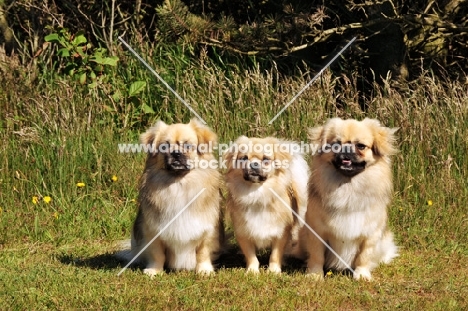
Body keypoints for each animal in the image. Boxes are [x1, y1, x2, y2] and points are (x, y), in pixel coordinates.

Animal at [120, 118, 223, 276]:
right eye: (165, 147)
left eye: (187, 146)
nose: (176, 153)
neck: (178, 183)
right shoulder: (153, 231)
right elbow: (157, 254)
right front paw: (154, 270)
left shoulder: (208, 230)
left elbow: (203, 253)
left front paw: (204, 270)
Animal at [224, 136, 308, 272]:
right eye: (244, 158)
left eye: (266, 159)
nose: (254, 164)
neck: (257, 193)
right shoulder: (243, 232)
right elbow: (251, 255)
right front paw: (252, 271)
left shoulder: (281, 232)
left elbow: (275, 255)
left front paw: (273, 271)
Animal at [302, 118, 400, 282]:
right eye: (336, 144)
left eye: (360, 146)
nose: (346, 150)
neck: (348, 187)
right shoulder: (317, 231)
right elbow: (317, 255)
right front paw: (315, 275)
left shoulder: (370, 234)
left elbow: (363, 256)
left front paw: (361, 275)